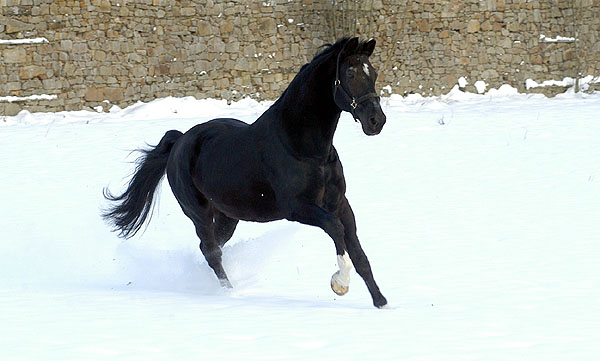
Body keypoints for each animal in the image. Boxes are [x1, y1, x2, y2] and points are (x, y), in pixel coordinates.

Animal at [105, 37, 386, 306]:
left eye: (373, 72)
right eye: (350, 73)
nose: (376, 121)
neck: (303, 147)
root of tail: (180, 141)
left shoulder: (339, 203)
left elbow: (358, 253)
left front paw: (381, 302)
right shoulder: (298, 208)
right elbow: (336, 230)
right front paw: (340, 284)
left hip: (228, 216)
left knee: (212, 247)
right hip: (199, 214)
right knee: (211, 251)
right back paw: (230, 293)